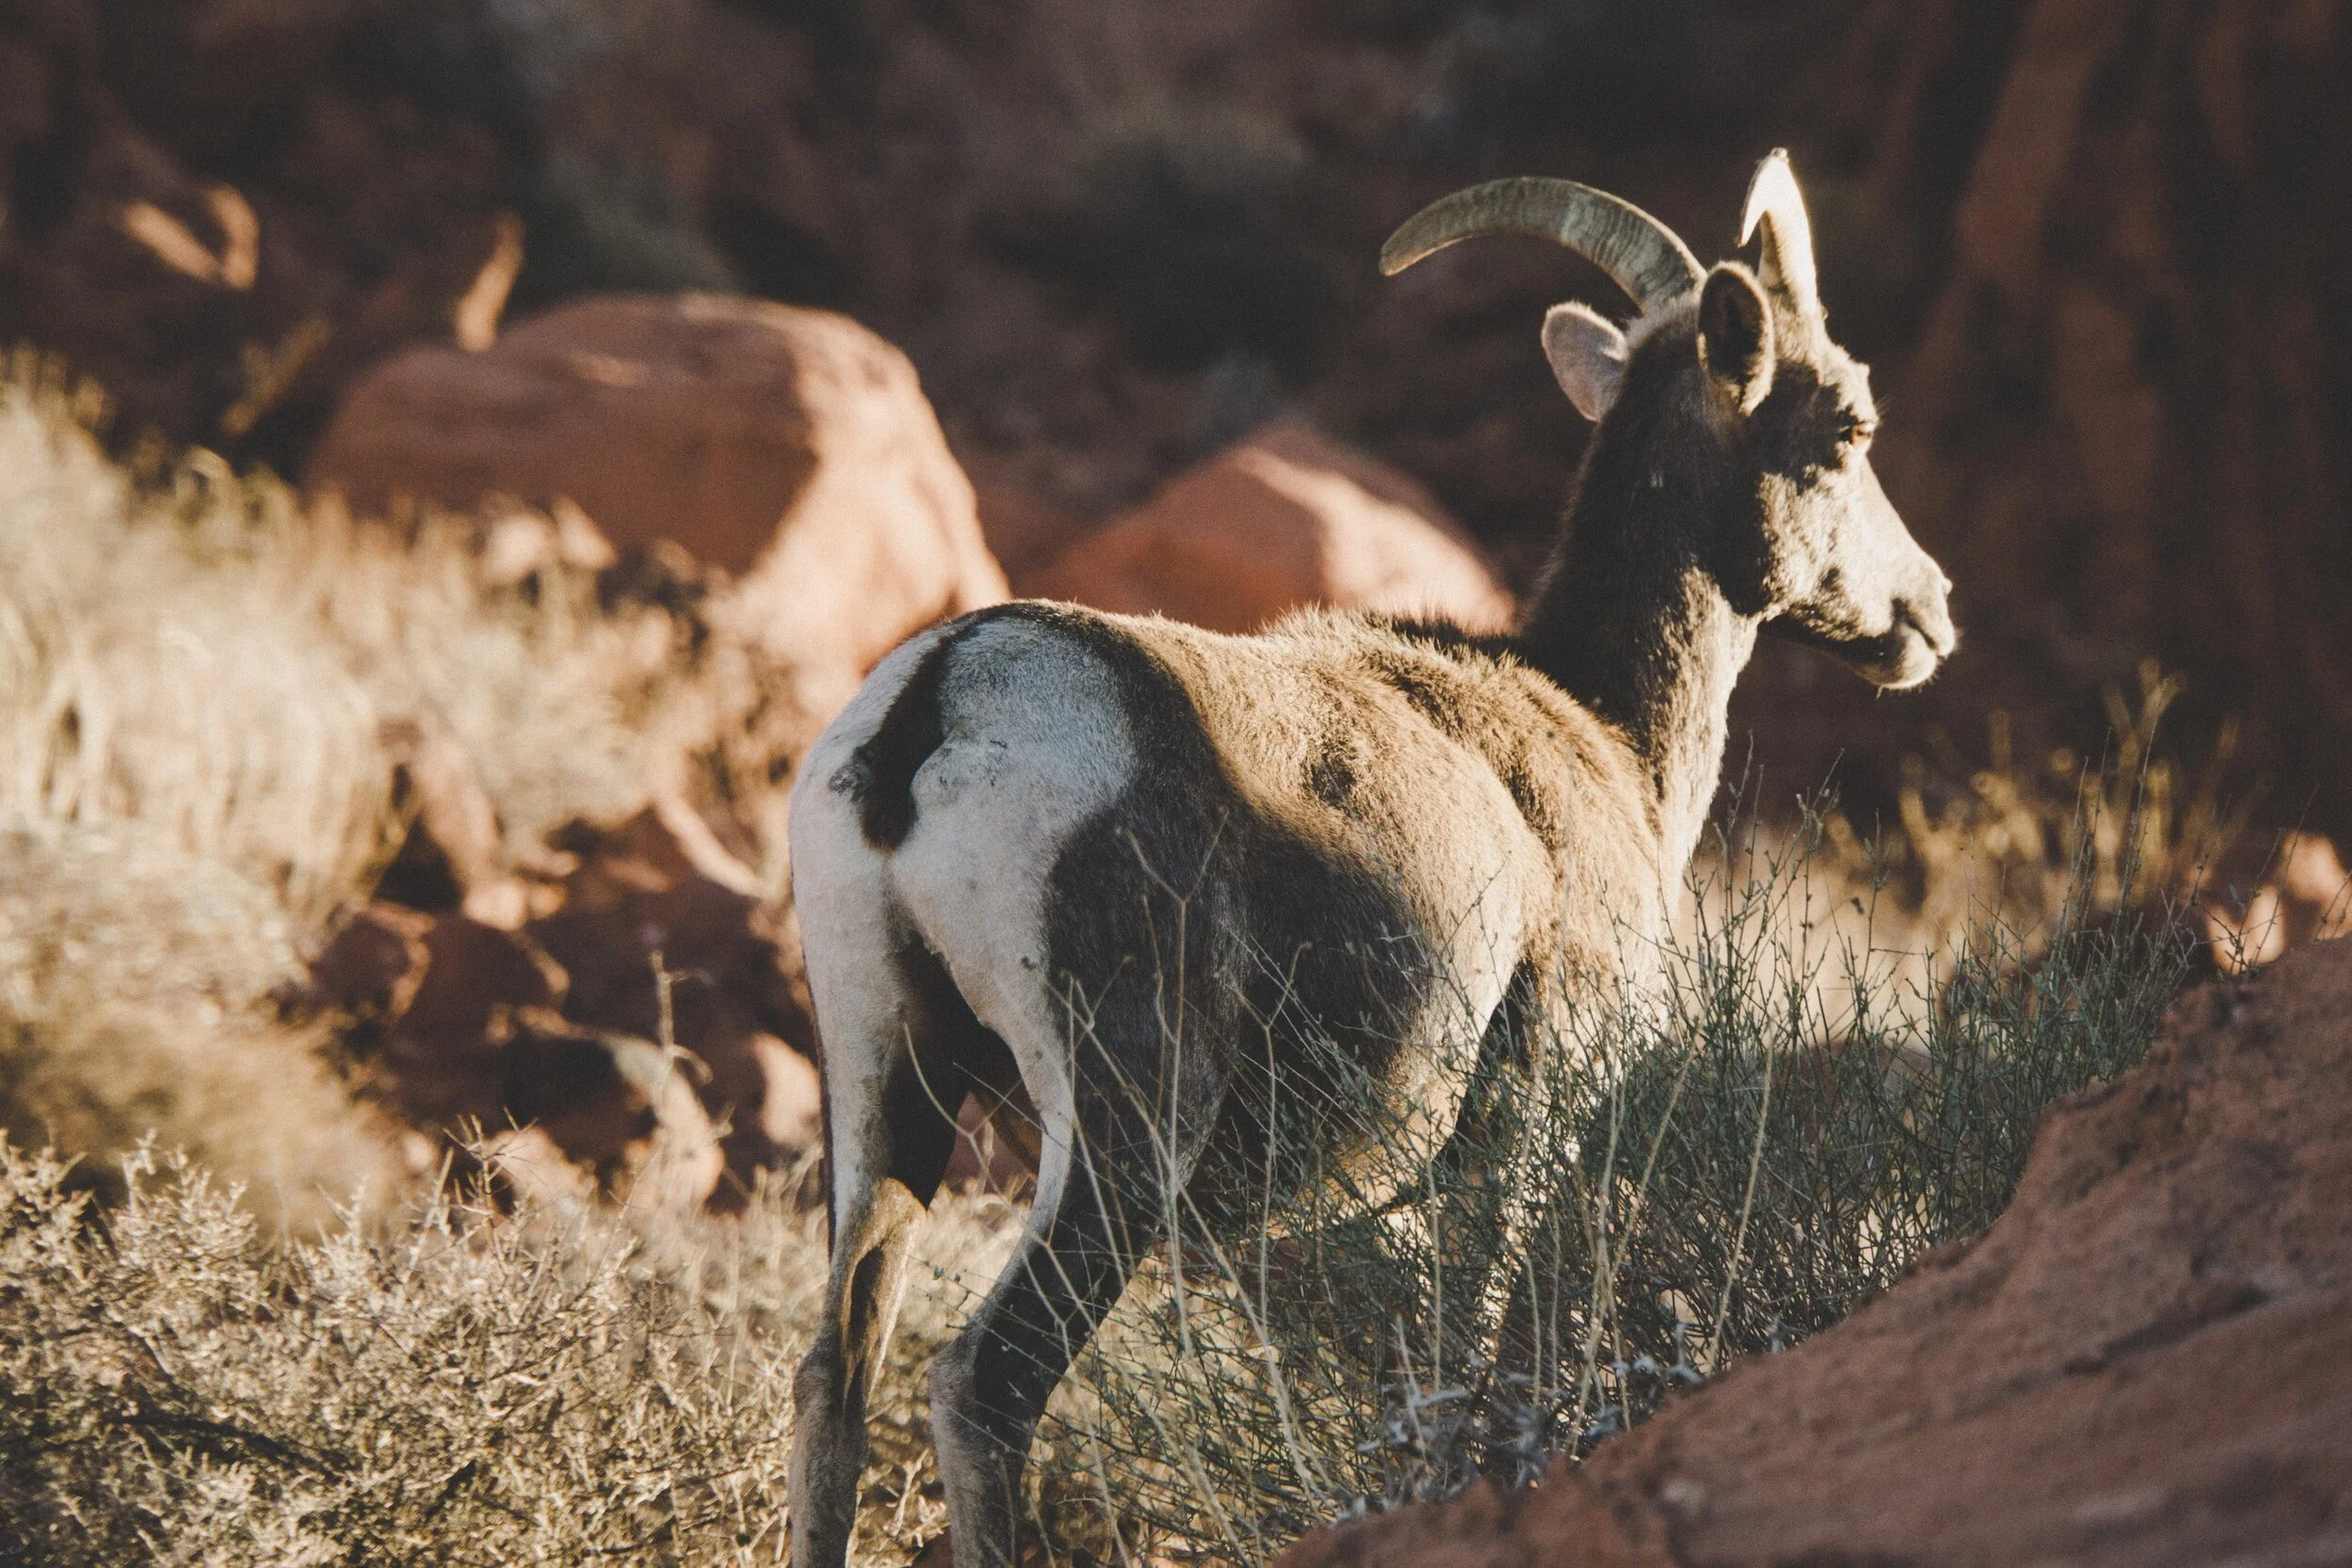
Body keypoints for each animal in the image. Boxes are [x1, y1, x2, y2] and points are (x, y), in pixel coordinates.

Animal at [785, 152, 1956, 1568]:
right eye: (1846, 425)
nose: (1930, 612)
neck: (1601, 730)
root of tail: (938, 706)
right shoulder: (1524, 1122)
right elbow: (1477, 1372)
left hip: (884, 1076)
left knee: (835, 1377)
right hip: (1124, 1124)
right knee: (985, 1382)